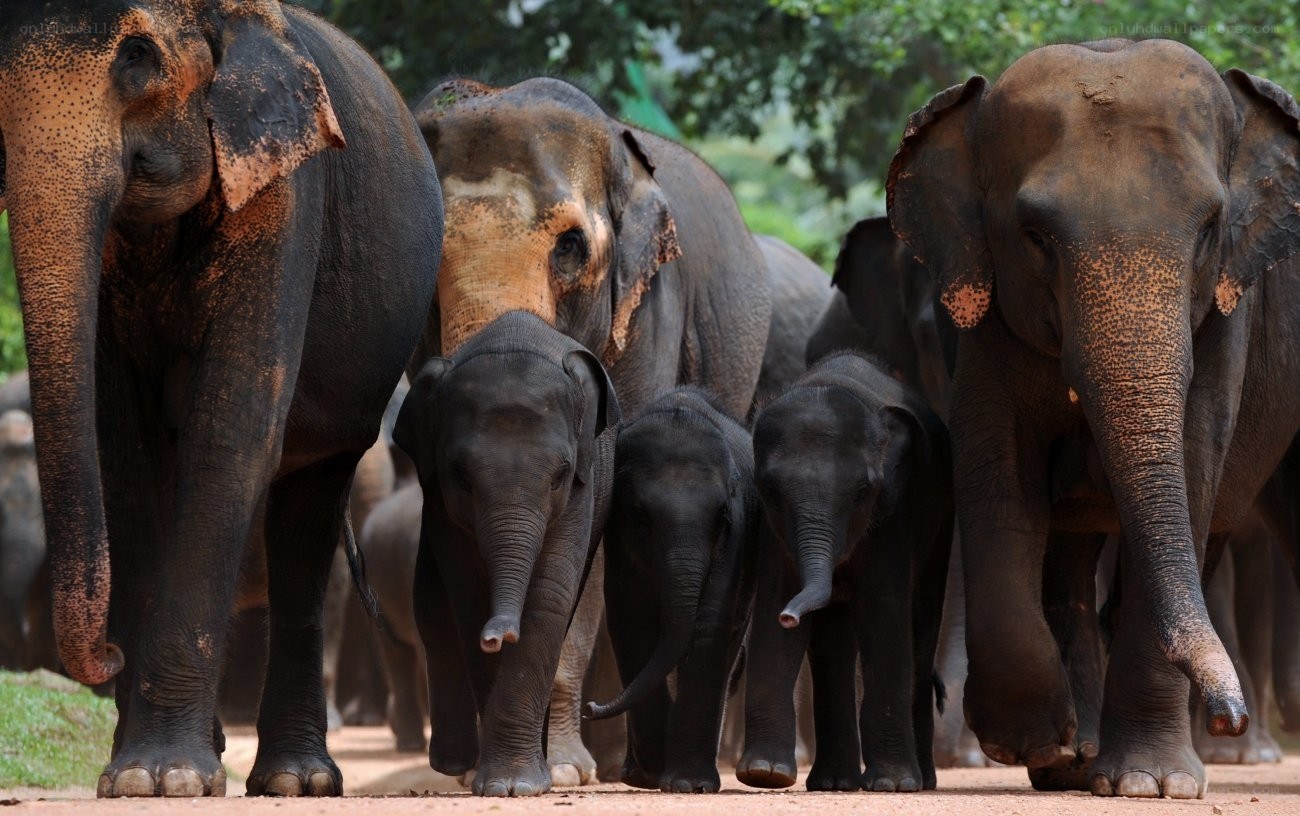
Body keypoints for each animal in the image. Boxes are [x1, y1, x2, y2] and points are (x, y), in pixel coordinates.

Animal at [0, 0, 441, 798]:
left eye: (139, 59)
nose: (107, 657)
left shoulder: (284, 190)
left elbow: (233, 427)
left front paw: (164, 777)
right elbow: (124, 447)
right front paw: (137, 776)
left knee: (307, 523)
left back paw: (297, 781)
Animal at [393, 311, 619, 797]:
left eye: (560, 476)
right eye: (461, 476)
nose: (498, 636)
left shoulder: (582, 487)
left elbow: (549, 597)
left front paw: (518, 786)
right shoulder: (440, 500)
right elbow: (469, 599)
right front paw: (498, 783)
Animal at [587, 387, 759, 793]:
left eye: (722, 516)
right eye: (641, 516)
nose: (589, 708)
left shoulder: (736, 535)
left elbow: (709, 624)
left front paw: (689, 784)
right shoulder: (620, 539)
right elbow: (631, 621)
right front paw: (653, 773)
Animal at [740, 351, 951, 793]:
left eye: (862, 492)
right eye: (769, 490)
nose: (790, 616)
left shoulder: (895, 509)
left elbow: (882, 611)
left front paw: (891, 785)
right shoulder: (772, 528)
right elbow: (773, 598)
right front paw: (764, 774)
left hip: (941, 523)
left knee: (921, 627)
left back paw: (921, 781)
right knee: (832, 645)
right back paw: (834, 782)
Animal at [888, 38, 1300, 798]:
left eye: (1209, 230)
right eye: (1034, 236)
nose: (1228, 715)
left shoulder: (1226, 317)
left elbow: (1190, 469)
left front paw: (1149, 784)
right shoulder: (987, 321)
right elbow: (999, 476)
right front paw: (1033, 740)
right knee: (1069, 554)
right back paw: (1069, 761)